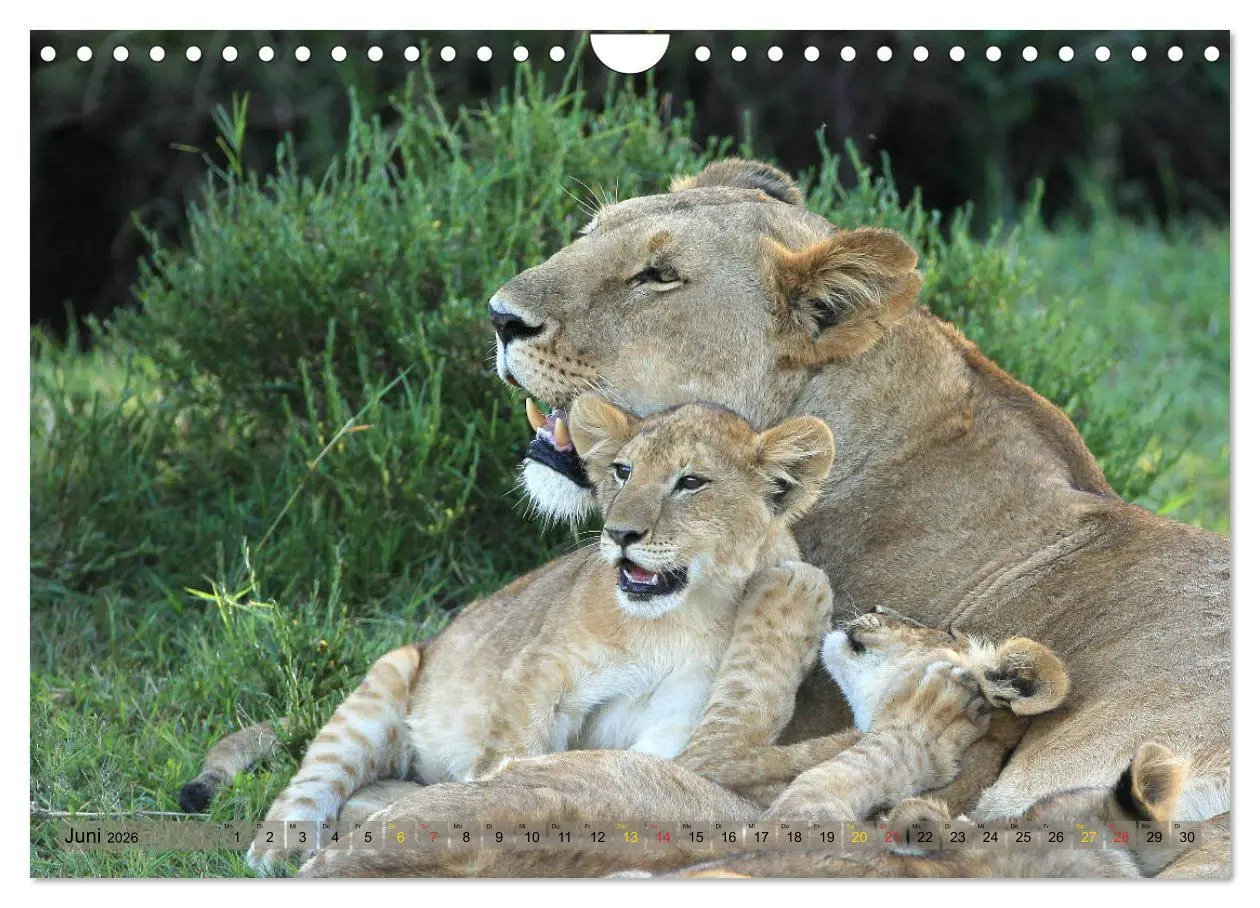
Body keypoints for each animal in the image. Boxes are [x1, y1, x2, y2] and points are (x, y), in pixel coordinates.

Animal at [200, 395, 837, 872]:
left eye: (691, 482)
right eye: (624, 471)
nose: (620, 534)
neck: (675, 620)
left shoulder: (679, 718)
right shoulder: (544, 666)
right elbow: (511, 747)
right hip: (386, 679)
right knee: (313, 780)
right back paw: (276, 849)